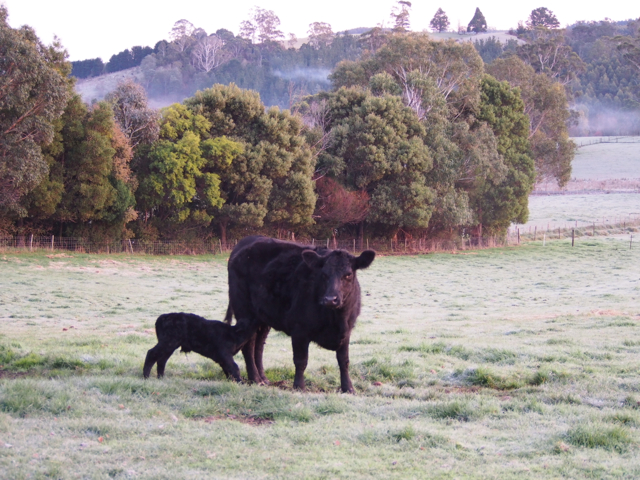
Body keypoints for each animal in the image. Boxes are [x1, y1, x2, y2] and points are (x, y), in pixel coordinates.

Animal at [226, 236, 372, 394]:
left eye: (348, 274)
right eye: (324, 274)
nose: (330, 299)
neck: (335, 320)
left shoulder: (346, 331)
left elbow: (343, 360)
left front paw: (348, 388)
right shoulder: (299, 330)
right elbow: (301, 360)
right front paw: (299, 386)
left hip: (263, 318)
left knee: (258, 347)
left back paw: (263, 378)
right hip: (245, 313)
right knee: (249, 346)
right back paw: (255, 379)